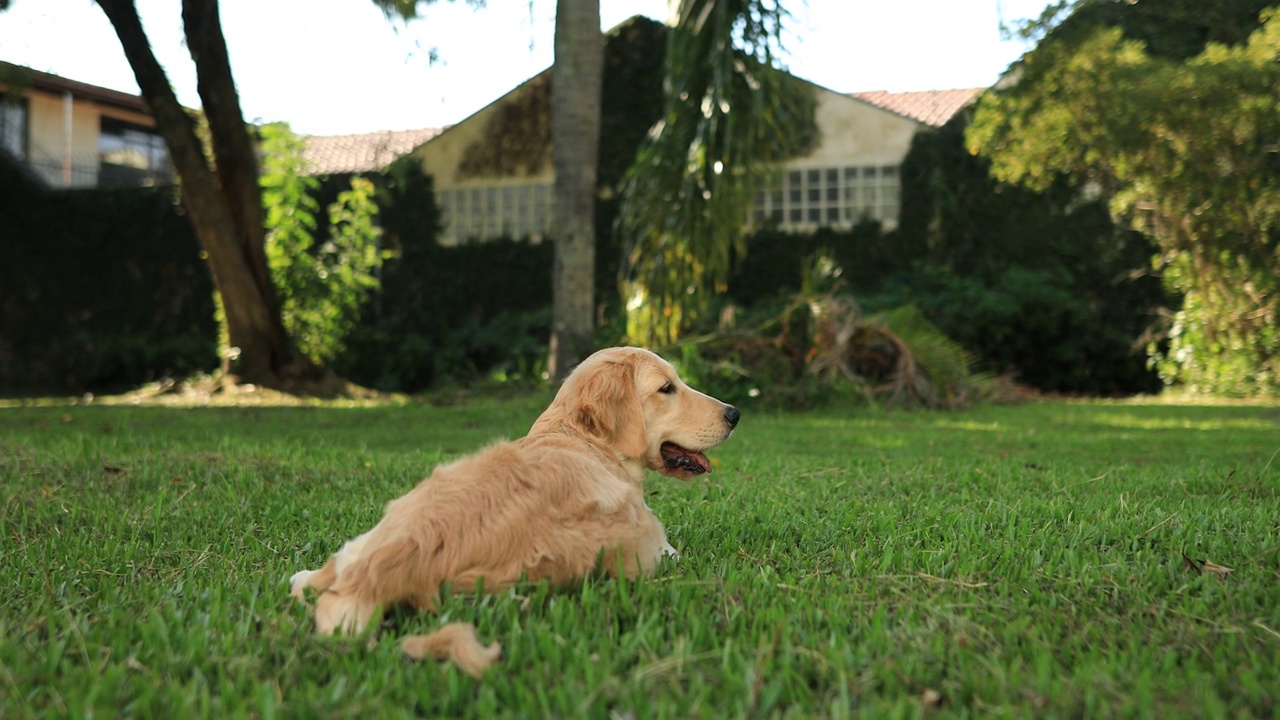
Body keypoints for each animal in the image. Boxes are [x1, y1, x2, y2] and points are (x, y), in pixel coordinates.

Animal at [285, 345, 737, 676]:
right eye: (666, 388)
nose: (735, 413)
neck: (581, 438)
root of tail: (376, 573)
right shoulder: (660, 551)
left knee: (320, 575)